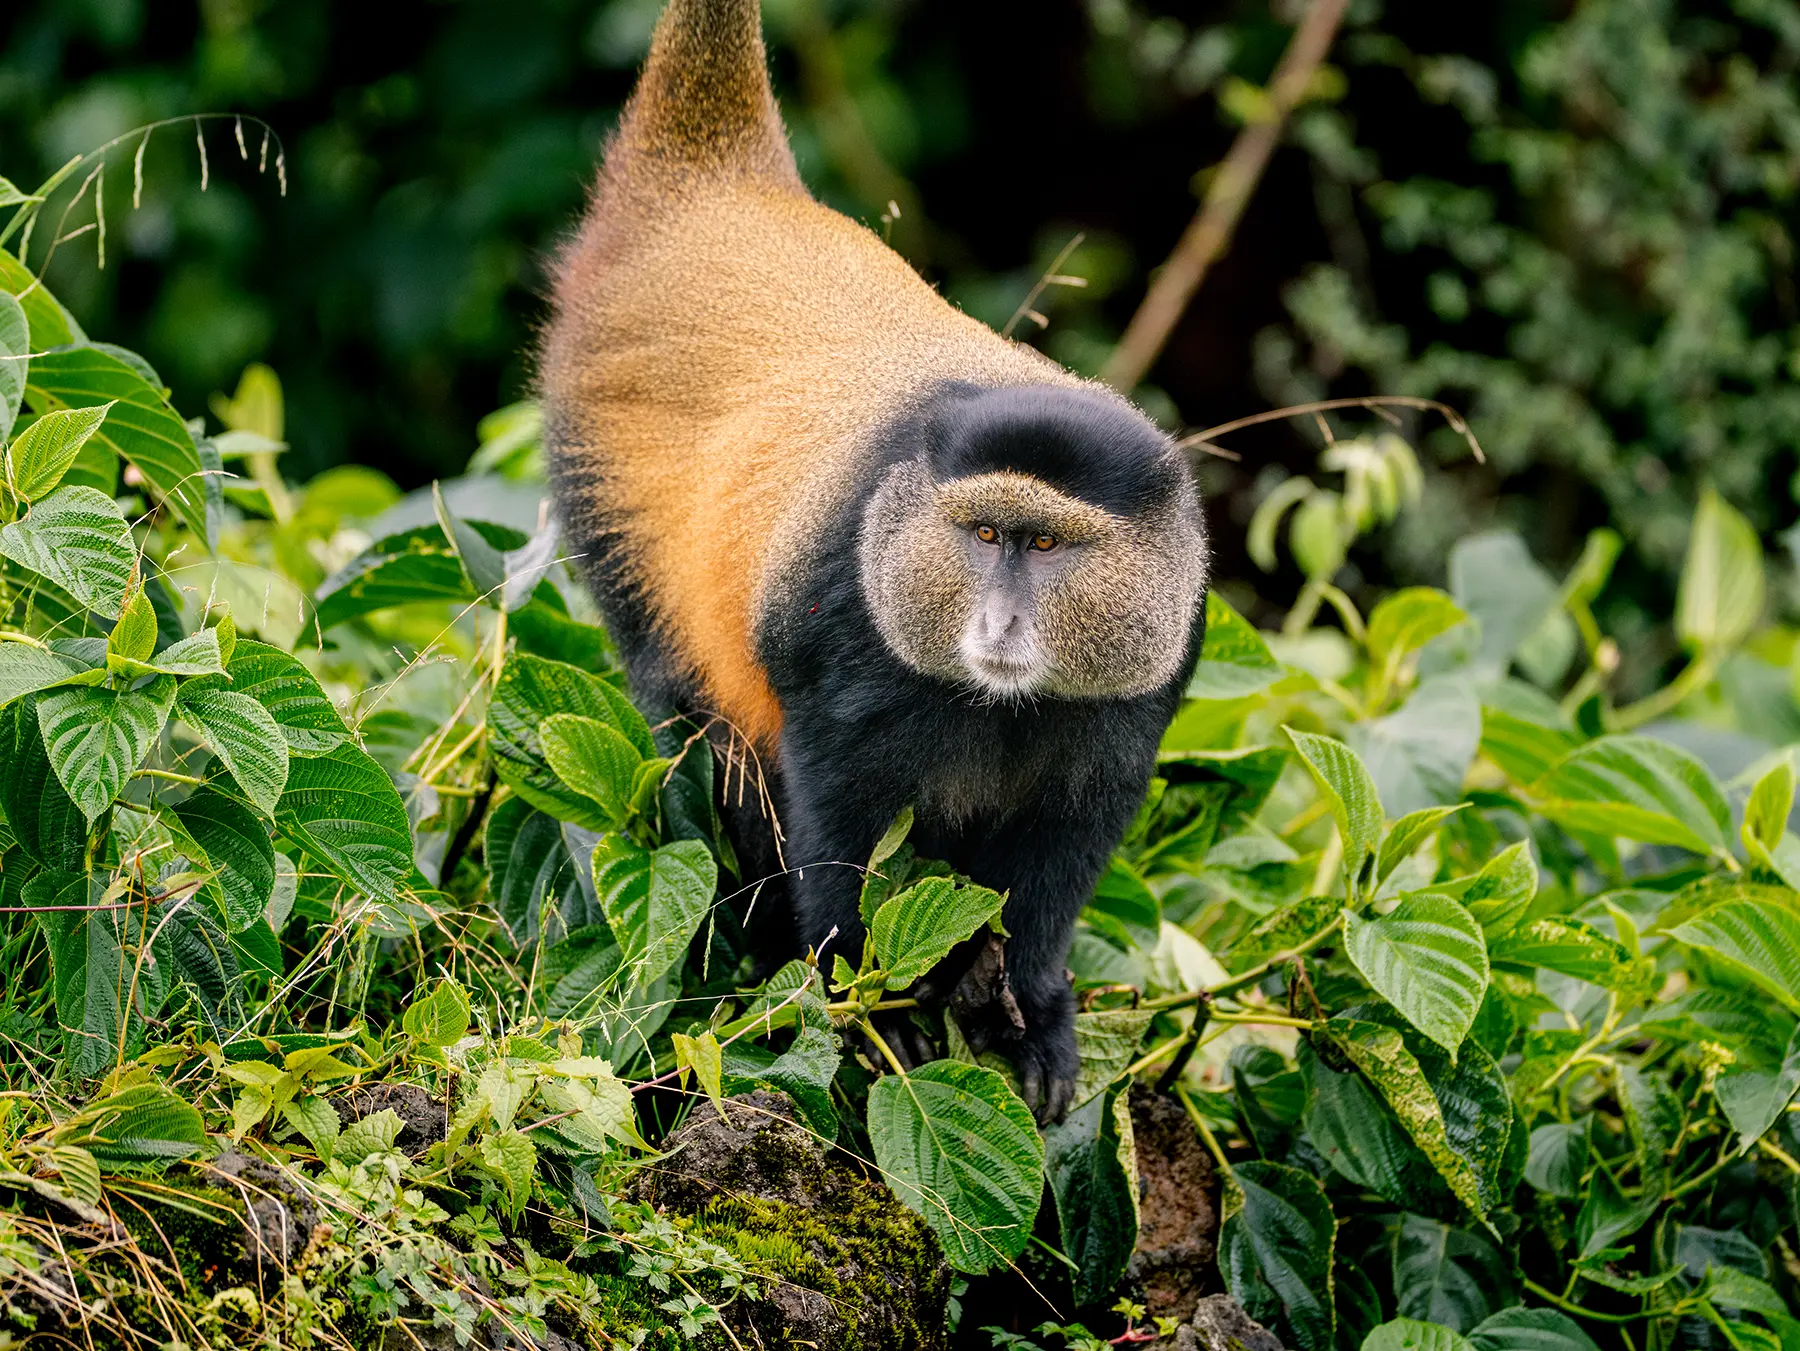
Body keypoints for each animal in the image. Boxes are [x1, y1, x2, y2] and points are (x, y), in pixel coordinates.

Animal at [539, 0, 1208, 1121]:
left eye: (1045, 543)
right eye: (985, 536)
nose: (998, 622)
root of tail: (711, 193)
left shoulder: (1145, 684)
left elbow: (1061, 852)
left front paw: (1032, 1007)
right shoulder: (840, 636)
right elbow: (834, 816)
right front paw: (867, 1005)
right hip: (600, 485)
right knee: (699, 722)